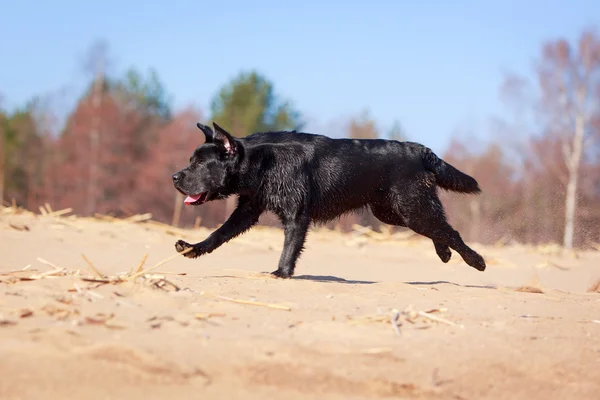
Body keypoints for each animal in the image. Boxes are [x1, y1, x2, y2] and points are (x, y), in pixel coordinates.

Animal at [171, 122, 486, 278]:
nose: (174, 176)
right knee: (441, 229)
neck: (263, 161)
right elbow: (218, 235)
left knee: (450, 230)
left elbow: (289, 249)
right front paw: (193, 248)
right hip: (393, 212)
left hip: (412, 208)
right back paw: (445, 254)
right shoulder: (247, 210)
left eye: (199, 164)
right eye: (190, 161)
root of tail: (420, 149)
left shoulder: (297, 216)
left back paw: (476, 260)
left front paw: (281, 273)